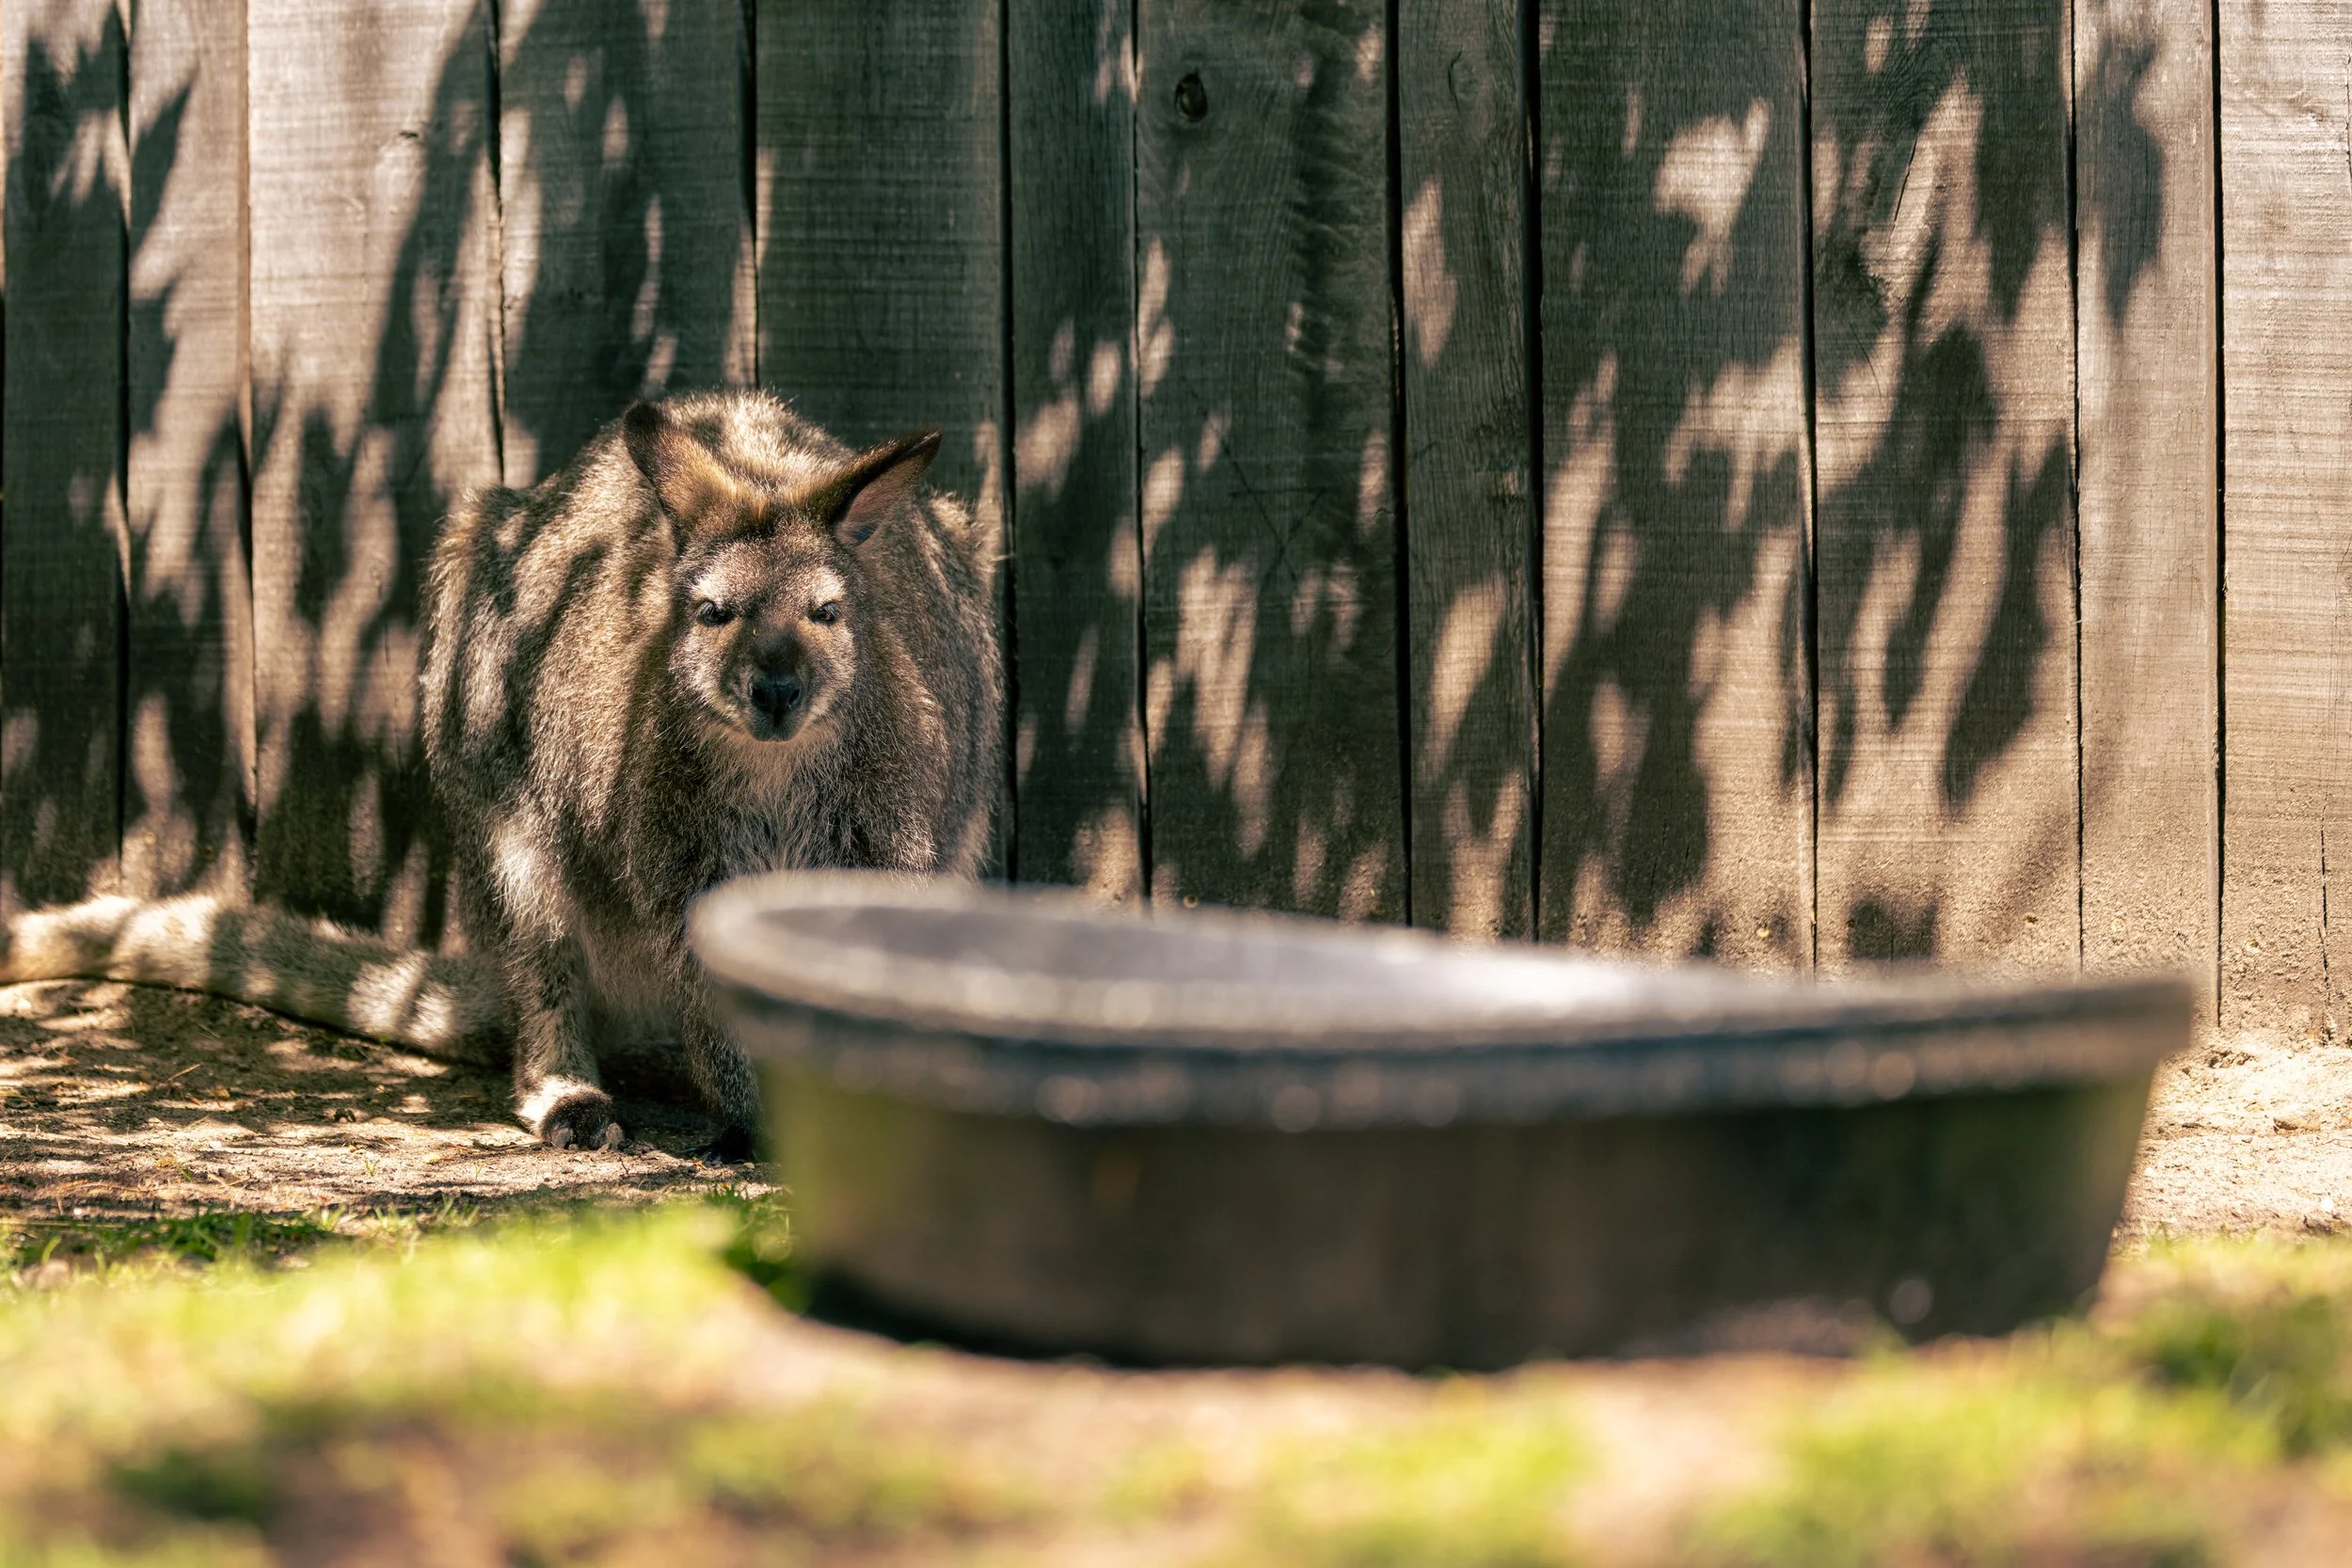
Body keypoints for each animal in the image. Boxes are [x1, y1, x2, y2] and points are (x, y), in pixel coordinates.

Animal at [0, 390, 1003, 1162]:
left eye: (828, 612)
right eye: (712, 611)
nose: (777, 692)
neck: (774, 767)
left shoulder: (895, 829)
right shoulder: (676, 857)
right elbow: (726, 993)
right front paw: (766, 1127)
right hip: (492, 749)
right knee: (543, 944)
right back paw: (573, 1101)